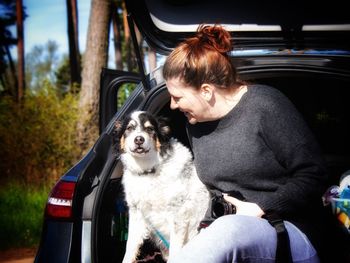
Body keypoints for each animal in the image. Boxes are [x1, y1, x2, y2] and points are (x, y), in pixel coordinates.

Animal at [113, 111, 209, 263]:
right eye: (129, 128)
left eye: (150, 129)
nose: (139, 139)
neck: (148, 171)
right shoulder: (137, 214)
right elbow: (130, 247)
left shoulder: (178, 215)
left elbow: (176, 252)